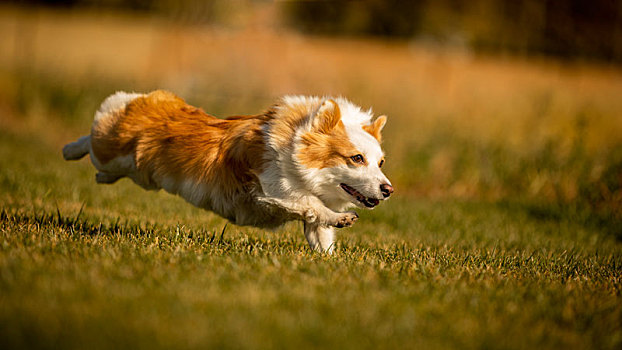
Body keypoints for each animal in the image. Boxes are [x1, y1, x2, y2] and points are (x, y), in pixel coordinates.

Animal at [63, 91, 394, 252]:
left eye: (380, 163)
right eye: (356, 158)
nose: (388, 190)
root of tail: (145, 99)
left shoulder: (304, 213)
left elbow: (319, 229)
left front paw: (329, 257)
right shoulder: (274, 188)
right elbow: (311, 204)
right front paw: (344, 217)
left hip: (135, 172)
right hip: (110, 153)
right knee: (90, 141)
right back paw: (68, 150)